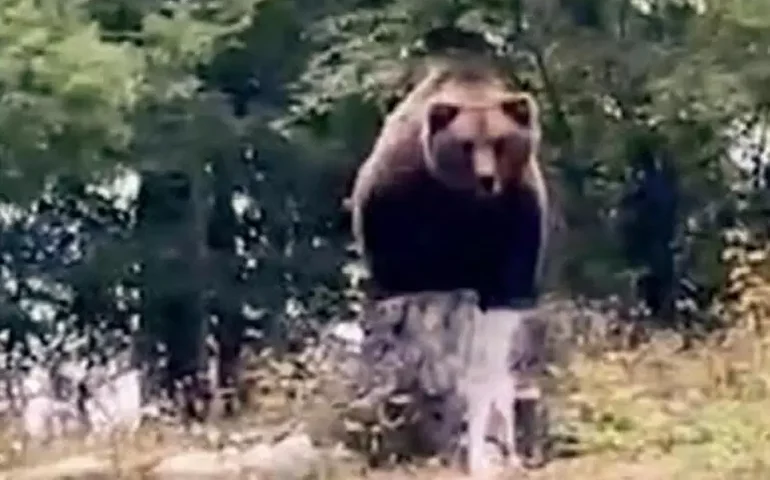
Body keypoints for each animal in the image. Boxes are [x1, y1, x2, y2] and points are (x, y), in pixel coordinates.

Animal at [348, 58, 549, 310]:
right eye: (467, 145)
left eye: (499, 142)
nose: (486, 178)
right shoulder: (404, 183)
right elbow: (392, 235)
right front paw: (400, 285)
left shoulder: (514, 193)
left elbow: (520, 242)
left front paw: (511, 295)